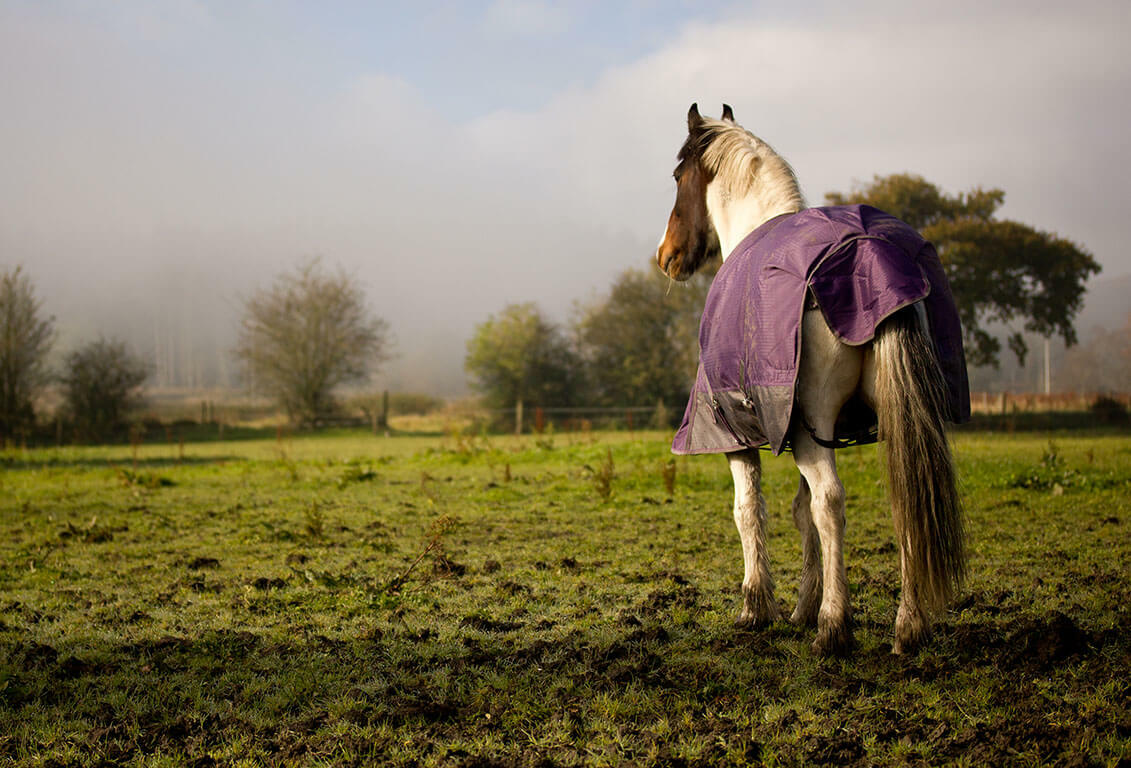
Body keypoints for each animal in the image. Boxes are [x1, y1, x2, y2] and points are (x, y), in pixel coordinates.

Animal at [660, 102, 968, 656]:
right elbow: (800, 514)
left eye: (677, 177)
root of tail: (872, 257)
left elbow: (751, 510)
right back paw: (908, 625)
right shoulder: (800, 430)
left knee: (831, 503)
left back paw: (834, 626)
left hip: (811, 425)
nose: (666, 255)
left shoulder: (740, 432)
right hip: (889, 421)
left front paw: (757, 608)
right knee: (905, 499)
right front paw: (802, 606)